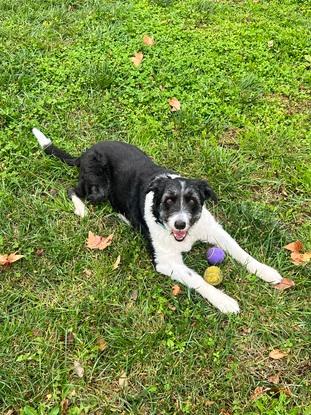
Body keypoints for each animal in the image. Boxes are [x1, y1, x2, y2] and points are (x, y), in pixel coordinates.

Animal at [33, 128, 284, 314]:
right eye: (168, 200)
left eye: (192, 201)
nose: (180, 224)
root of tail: (85, 152)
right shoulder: (165, 261)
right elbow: (197, 279)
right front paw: (225, 301)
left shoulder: (214, 230)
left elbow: (240, 251)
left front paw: (266, 271)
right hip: (99, 188)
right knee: (72, 190)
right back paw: (82, 209)